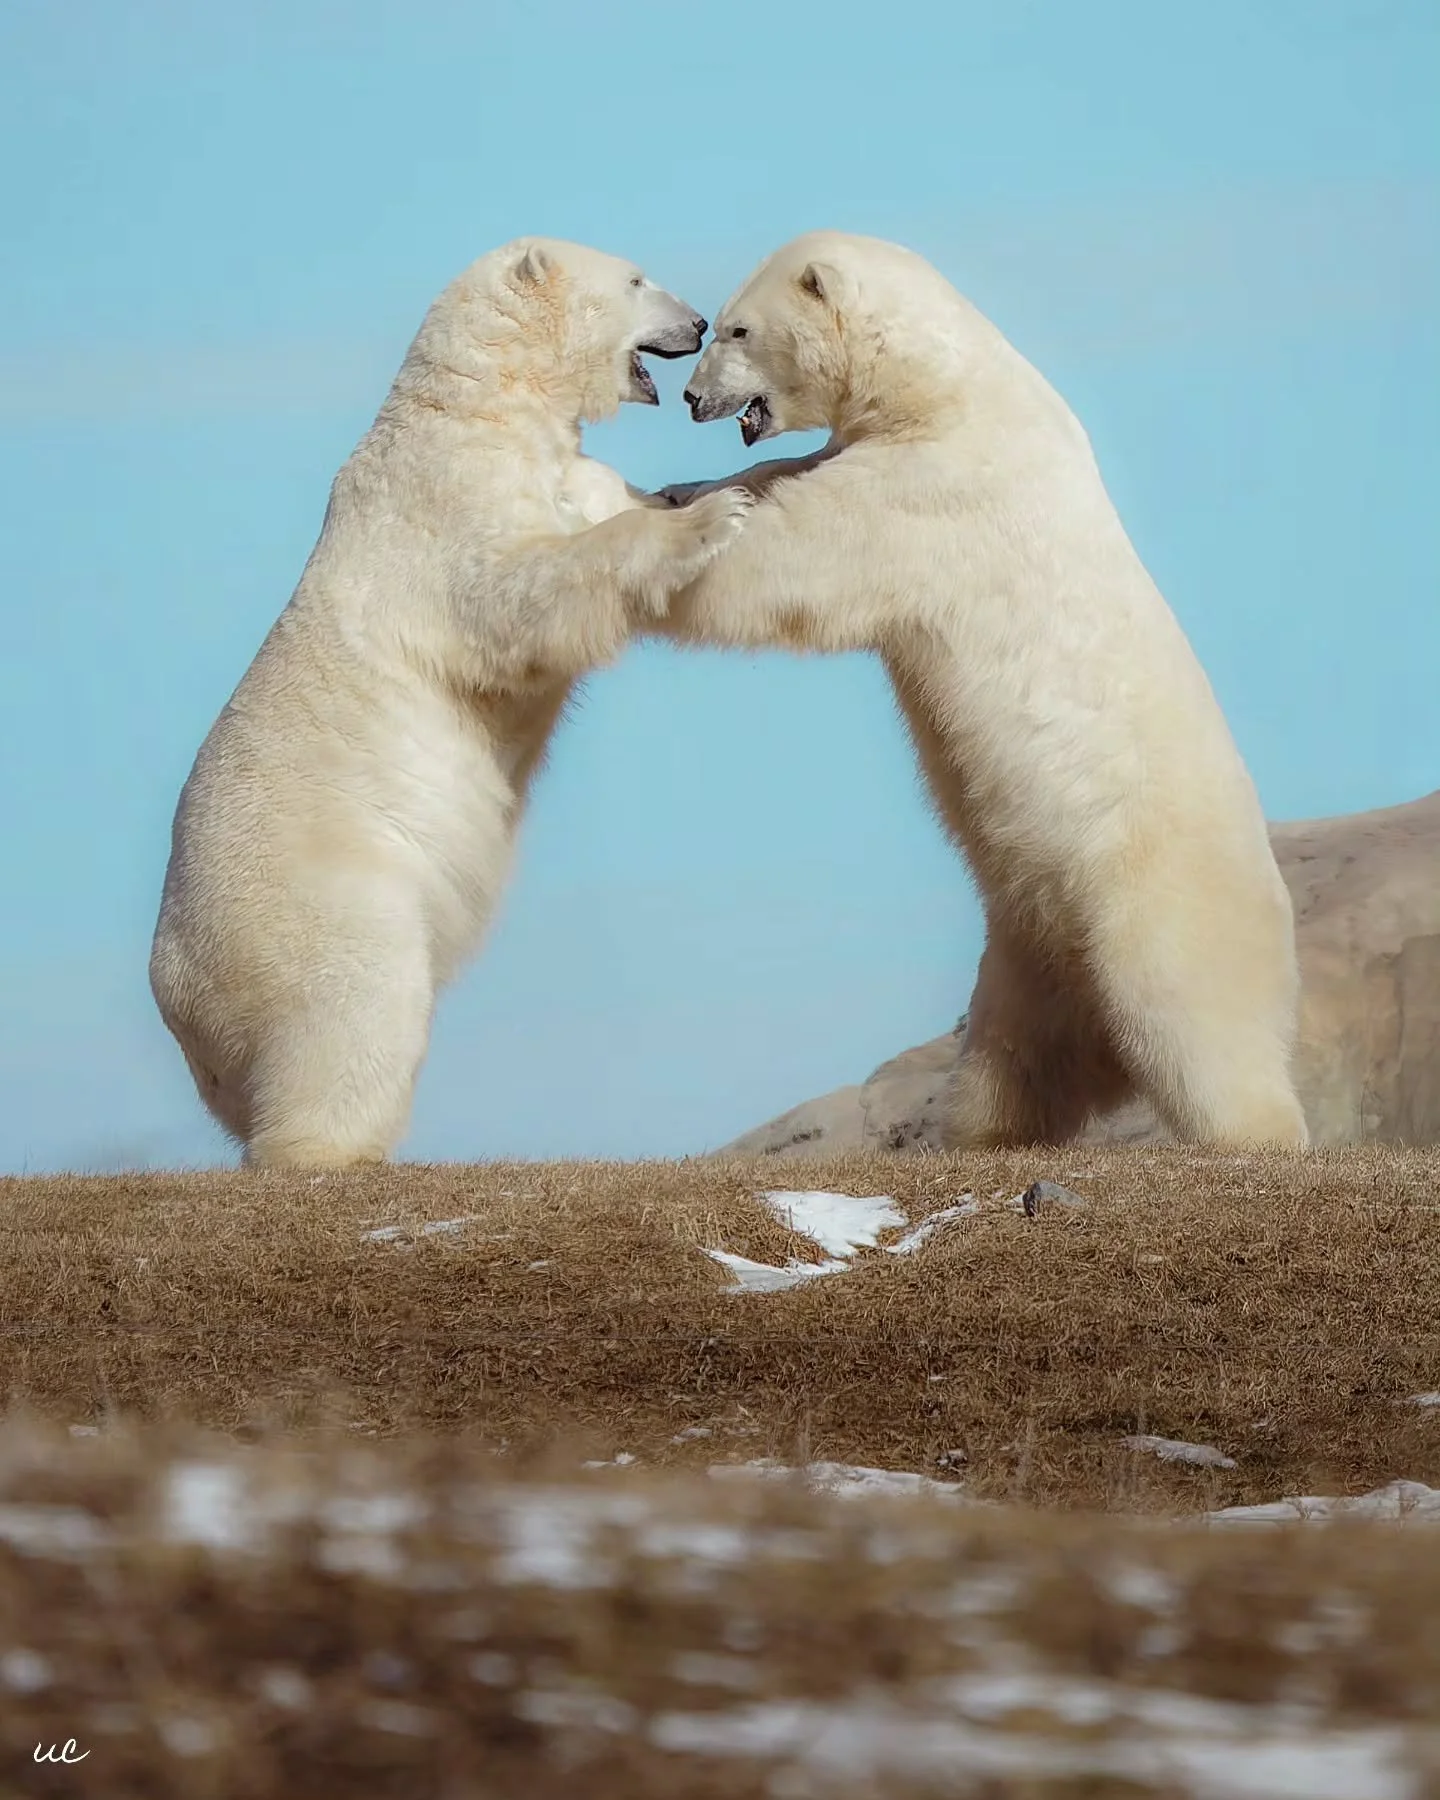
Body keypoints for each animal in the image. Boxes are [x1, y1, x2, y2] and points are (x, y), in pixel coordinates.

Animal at [150, 239, 751, 1169]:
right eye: (635, 278)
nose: (695, 323)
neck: (483, 404)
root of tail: (177, 1002)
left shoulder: (557, 466)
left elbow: (604, 497)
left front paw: (696, 488)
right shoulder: (447, 499)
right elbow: (512, 591)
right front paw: (711, 517)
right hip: (322, 902)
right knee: (356, 1008)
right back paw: (333, 1151)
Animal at [650, 230, 1308, 1150]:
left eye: (738, 329)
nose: (691, 398)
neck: (949, 382)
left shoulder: (936, 488)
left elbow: (803, 549)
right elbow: (790, 472)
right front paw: (681, 491)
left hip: (1157, 902)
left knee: (1203, 1037)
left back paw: (1259, 1139)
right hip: (1029, 943)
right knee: (1011, 1062)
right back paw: (978, 1136)